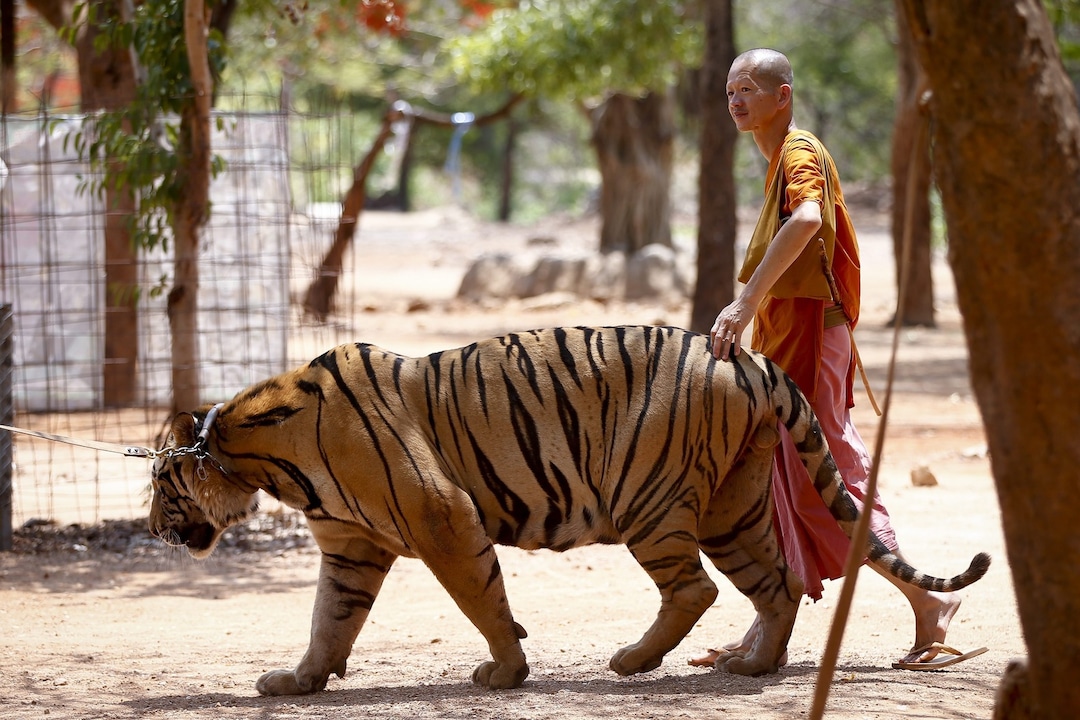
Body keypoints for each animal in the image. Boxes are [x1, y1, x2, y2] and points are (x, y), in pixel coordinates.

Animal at [148, 325, 990, 694]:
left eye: (159, 482)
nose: (154, 528)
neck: (261, 453)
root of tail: (743, 356)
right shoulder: (351, 546)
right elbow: (329, 619)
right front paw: (298, 680)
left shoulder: (442, 515)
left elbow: (483, 599)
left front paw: (506, 671)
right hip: (735, 504)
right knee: (777, 582)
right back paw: (754, 664)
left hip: (647, 497)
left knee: (695, 588)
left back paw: (635, 661)